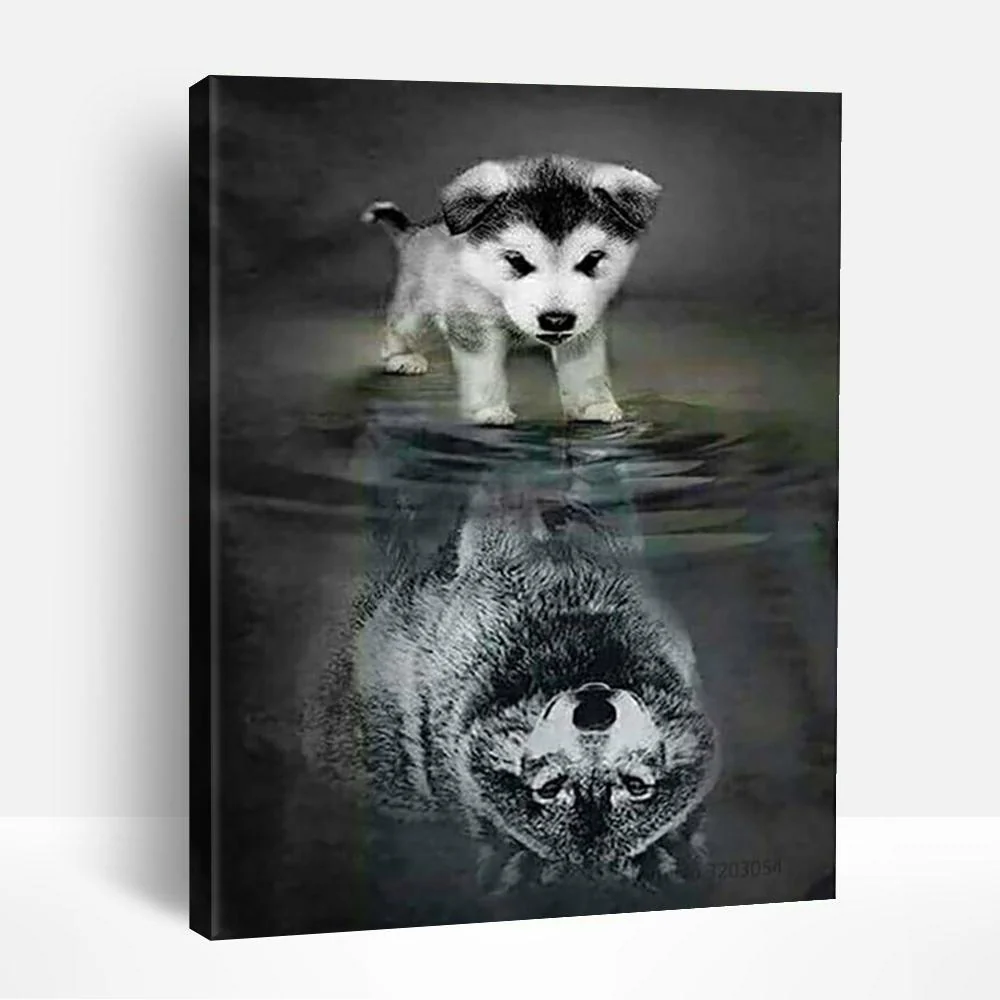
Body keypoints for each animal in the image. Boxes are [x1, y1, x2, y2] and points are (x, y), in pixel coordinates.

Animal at [362, 155, 662, 426]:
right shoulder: (474, 324)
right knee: (399, 326)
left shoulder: (585, 324)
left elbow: (586, 367)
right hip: (415, 302)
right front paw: (489, 411)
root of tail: (418, 231)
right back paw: (400, 356)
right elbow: (483, 368)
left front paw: (593, 406)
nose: (556, 320)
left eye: (592, 259)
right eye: (516, 259)